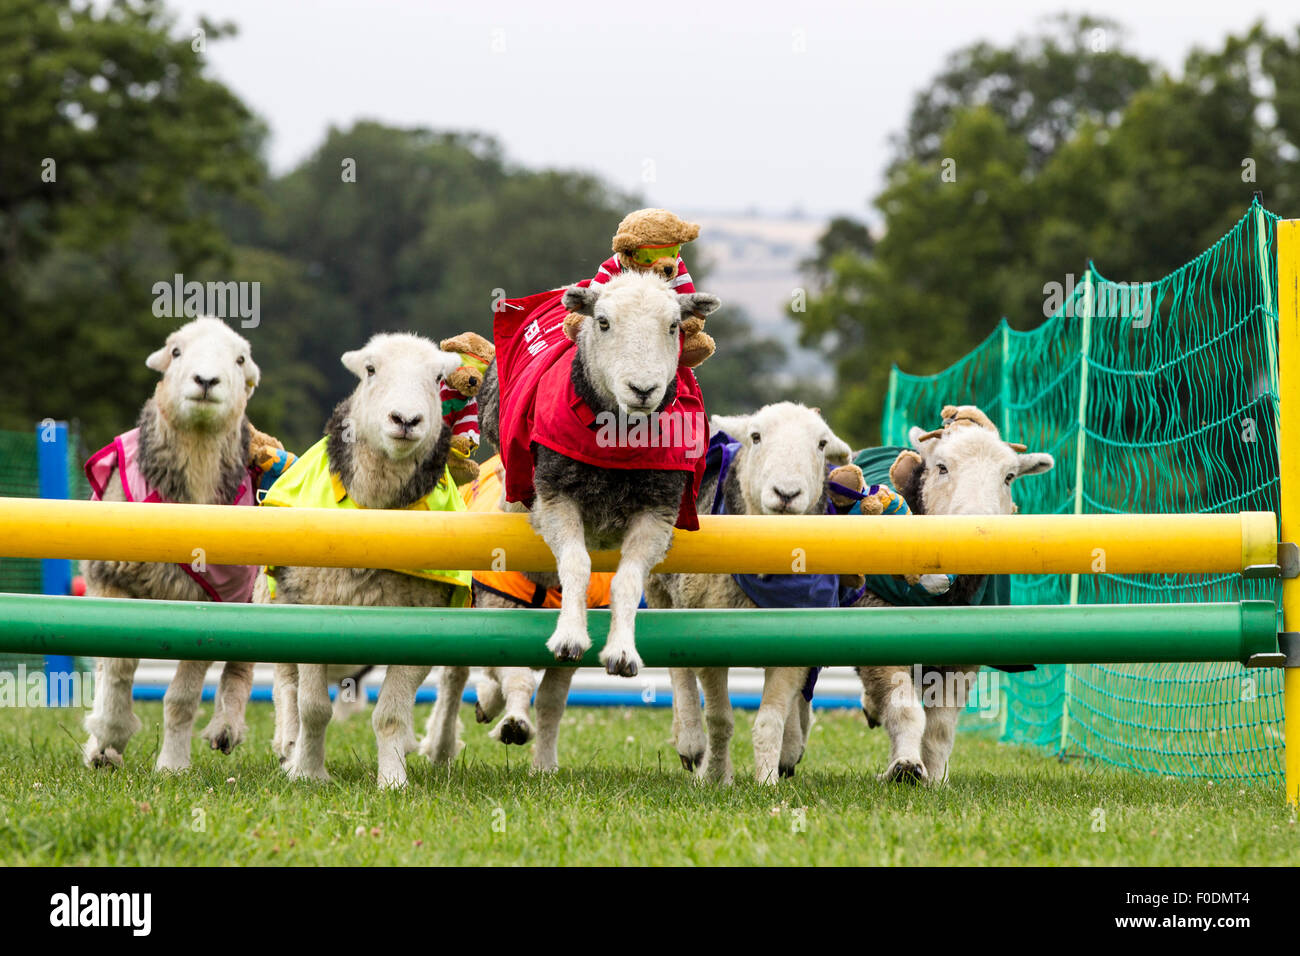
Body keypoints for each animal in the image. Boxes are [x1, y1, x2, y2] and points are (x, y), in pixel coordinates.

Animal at [80, 317, 263, 775]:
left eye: (239, 359)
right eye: (176, 352)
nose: (206, 380)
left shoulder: (210, 601)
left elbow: (182, 698)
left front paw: (173, 764)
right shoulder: (113, 580)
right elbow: (116, 668)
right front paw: (109, 736)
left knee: (242, 665)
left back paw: (226, 726)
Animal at [644, 403, 847, 785]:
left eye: (821, 444)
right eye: (756, 436)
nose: (786, 493)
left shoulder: (795, 639)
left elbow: (770, 720)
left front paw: (766, 781)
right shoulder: (707, 635)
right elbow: (720, 719)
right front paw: (714, 776)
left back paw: (790, 749)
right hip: (661, 590)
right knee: (678, 669)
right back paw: (690, 740)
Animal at [852, 403, 1055, 785]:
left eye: (1009, 477)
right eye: (942, 467)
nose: (977, 532)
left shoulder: (963, 653)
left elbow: (940, 728)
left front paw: (936, 778)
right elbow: (904, 709)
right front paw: (905, 767)